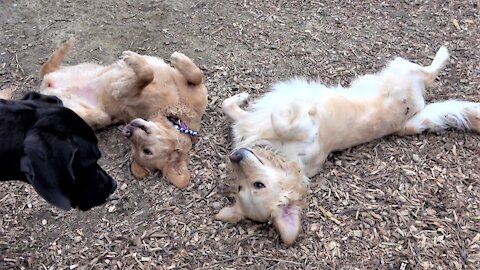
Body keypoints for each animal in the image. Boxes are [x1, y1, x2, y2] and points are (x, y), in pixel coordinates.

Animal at [216, 47, 478, 246]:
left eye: (257, 185)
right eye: (242, 186)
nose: (235, 155)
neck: (280, 153)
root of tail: (405, 123)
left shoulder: (259, 121)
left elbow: (234, 106)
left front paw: (249, 98)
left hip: (396, 71)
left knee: (428, 72)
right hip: (401, 73)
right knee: (428, 73)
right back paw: (442, 54)